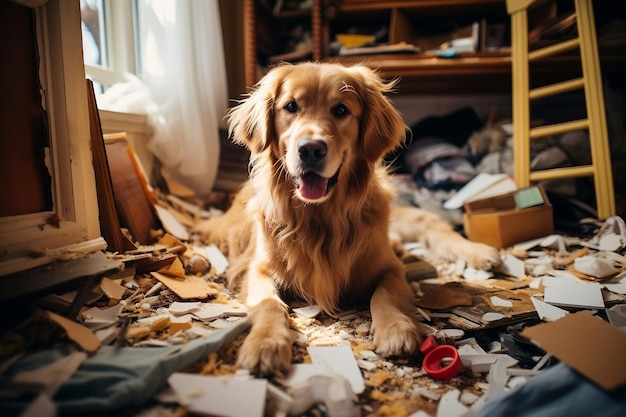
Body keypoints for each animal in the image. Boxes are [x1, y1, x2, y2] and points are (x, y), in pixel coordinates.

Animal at [194, 62, 498, 376]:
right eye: (291, 106)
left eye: (341, 110)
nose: (311, 149)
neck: (320, 218)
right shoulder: (258, 269)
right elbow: (270, 304)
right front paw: (265, 343)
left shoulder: (390, 268)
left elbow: (385, 294)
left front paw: (396, 330)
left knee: (432, 225)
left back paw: (481, 253)